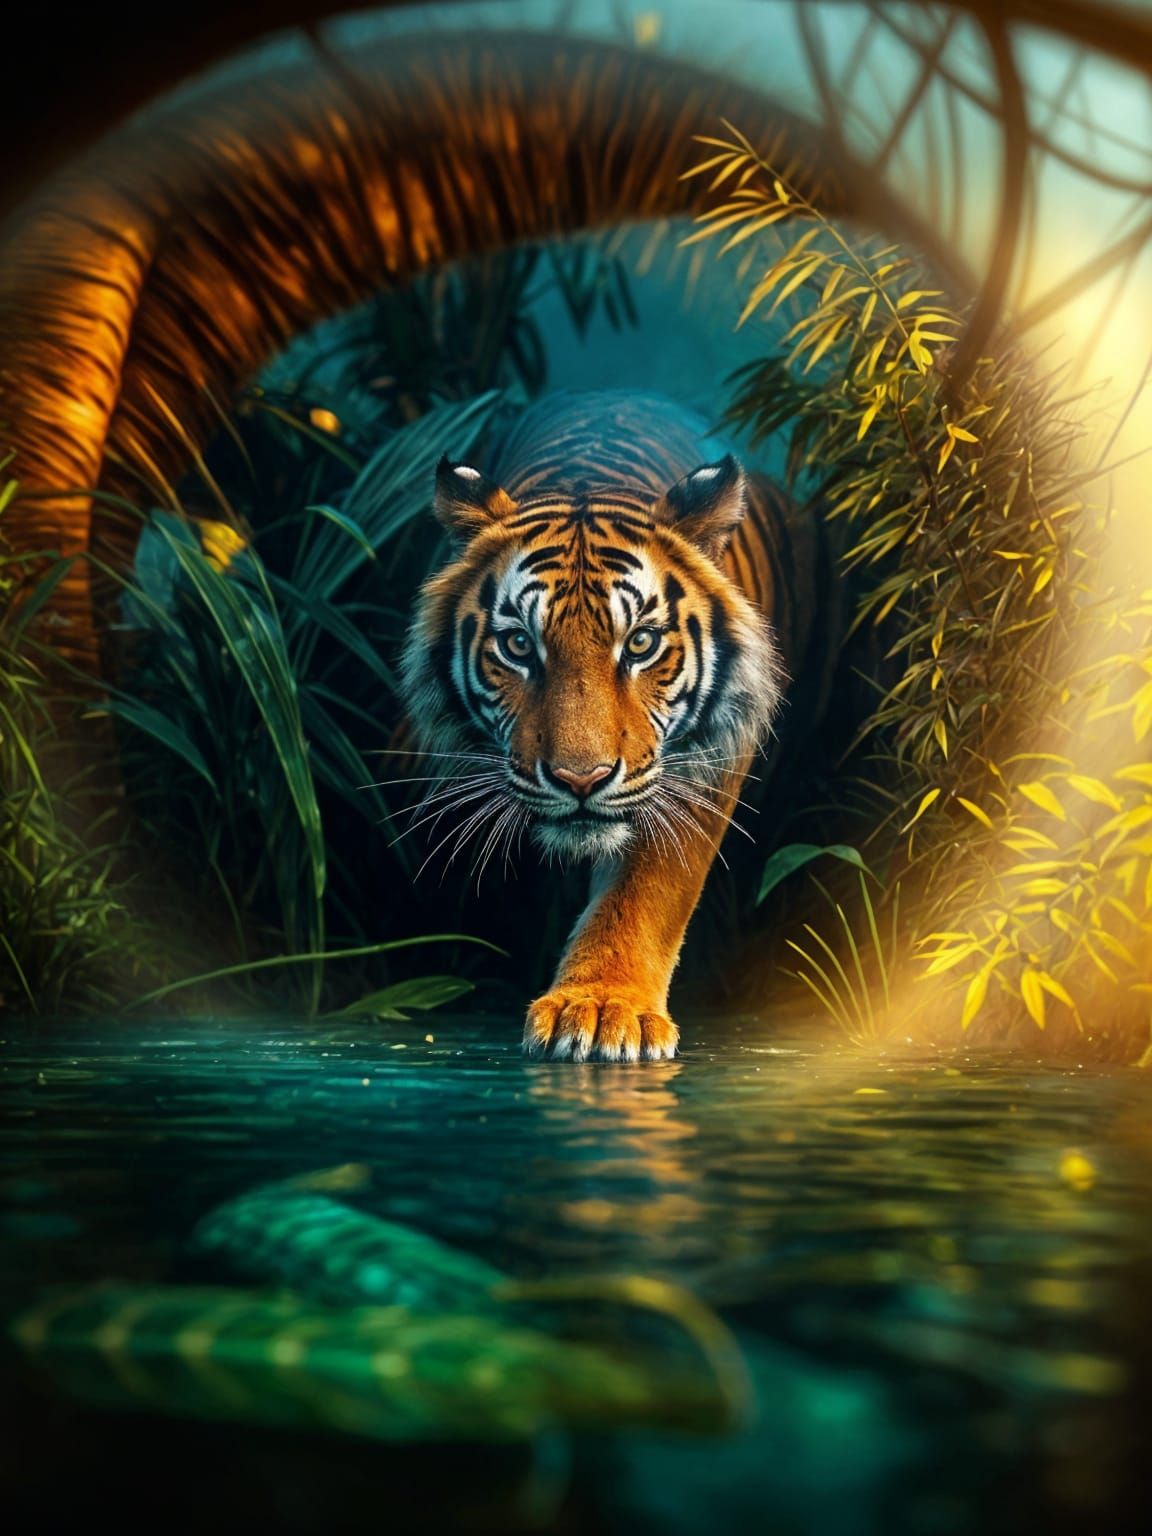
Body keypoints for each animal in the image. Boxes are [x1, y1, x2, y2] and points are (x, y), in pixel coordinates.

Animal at [401, 389, 824, 1063]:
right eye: (519, 645)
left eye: (642, 643)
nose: (581, 780)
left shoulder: (702, 765)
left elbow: (646, 890)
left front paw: (600, 1007)